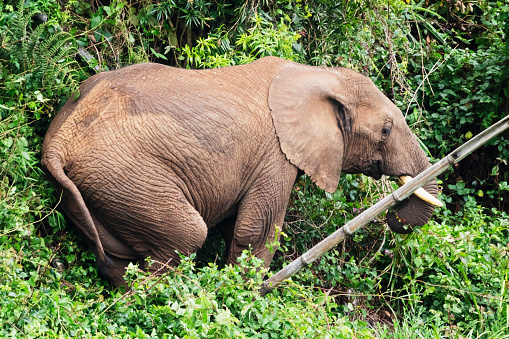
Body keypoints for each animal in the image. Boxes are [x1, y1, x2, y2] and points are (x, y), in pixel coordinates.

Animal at [42, 57, 440, 288]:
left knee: (117, 260)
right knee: (186, 237)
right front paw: (244, 297)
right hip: (128, 177)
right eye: (385, 131)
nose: (392, 215)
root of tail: (58, 142)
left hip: (98, 188)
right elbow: (256, 231)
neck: (318, 76)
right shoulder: (275, 155)